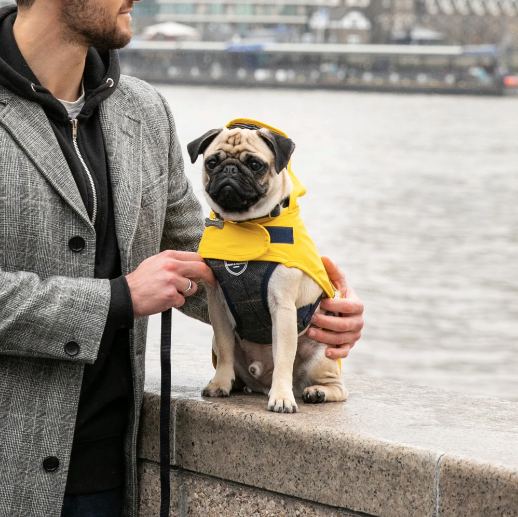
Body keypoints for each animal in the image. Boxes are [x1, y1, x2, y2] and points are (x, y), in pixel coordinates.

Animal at [187, 123, 350, 414]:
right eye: (212, 162)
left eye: (255, 165)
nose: (230, 169)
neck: (246, 225)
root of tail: (260, 383)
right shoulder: (217, 305)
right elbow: (225, 349)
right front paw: (220, 384)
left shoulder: (282, 308)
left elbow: (284, 357)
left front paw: (282, 397)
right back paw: (236, 383)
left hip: (322, 355)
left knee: (337, 388)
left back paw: (317, 392)